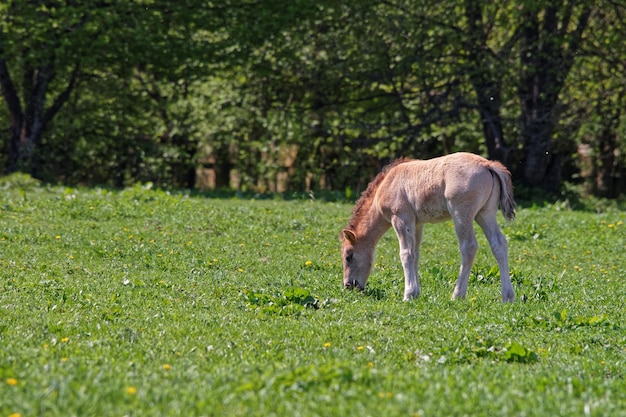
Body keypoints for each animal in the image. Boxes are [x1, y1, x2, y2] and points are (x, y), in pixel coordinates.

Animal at [338, 151, 516, 300]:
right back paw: (507, 296)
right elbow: (415, 254)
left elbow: (406, 254)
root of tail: (487, 164)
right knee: (499, 244)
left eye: (349, 256)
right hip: (486, 213)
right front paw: (416, 293)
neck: (387, 184)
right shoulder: (417, 224)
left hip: (461, 214)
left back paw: (457, 295)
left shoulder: (401, 219)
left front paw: (408, 294)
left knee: (469, 247)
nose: (349, 285)